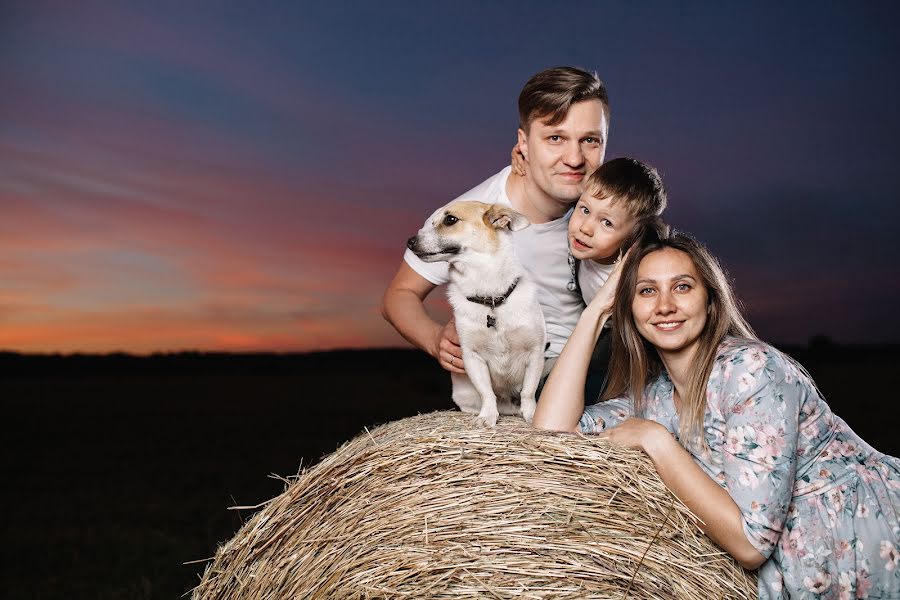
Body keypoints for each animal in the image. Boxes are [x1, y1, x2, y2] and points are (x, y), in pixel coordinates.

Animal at [410, 202, 548, 426]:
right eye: (431, 222)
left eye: (450, 220)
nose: (409, 241)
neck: (490, 298)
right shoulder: (472, 357)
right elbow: (487, 393)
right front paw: (487, 416)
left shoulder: (535, 353)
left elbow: (528, 392)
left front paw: (532, 415)